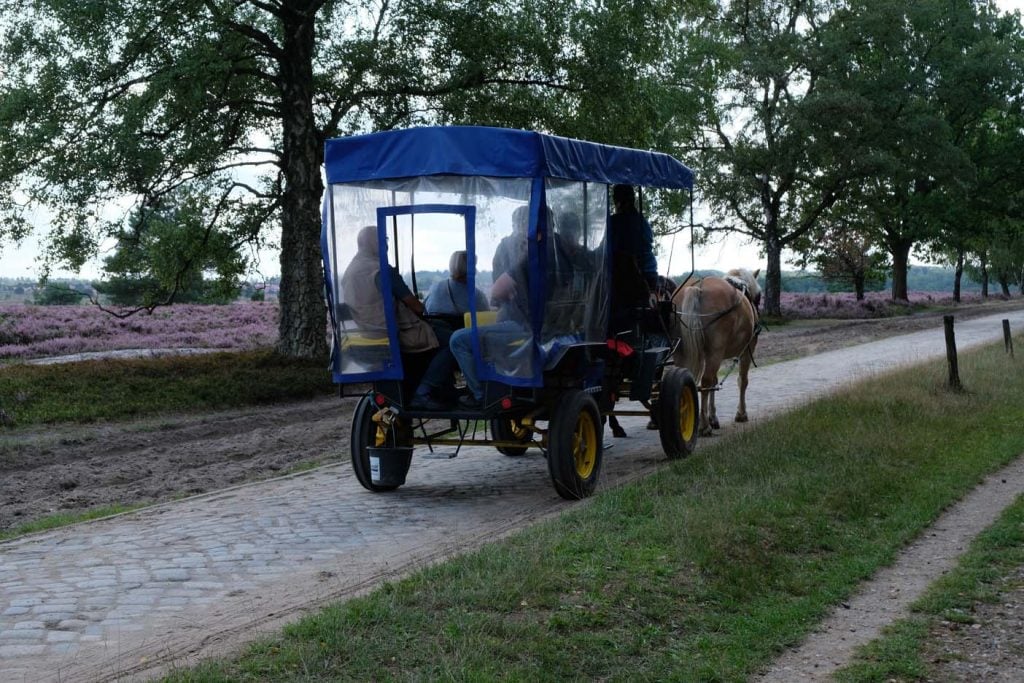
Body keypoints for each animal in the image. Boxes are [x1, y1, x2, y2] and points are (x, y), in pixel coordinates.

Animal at [671, 268, 761, 436]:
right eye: (758, 297)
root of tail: (697, 288)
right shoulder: (746, 351)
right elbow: (742, 381)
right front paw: (741, 414)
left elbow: (714, 380)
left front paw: (713, 417)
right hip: (716, 352)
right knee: (705, 382)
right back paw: (704, 426)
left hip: (682, 352)